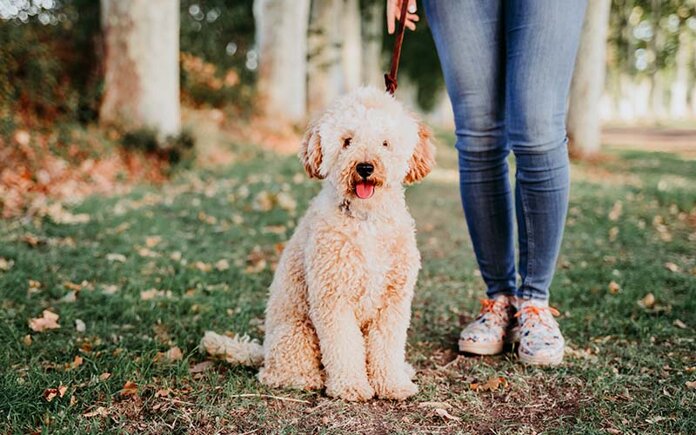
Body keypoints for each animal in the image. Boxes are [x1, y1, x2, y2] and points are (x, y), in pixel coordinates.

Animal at [198, 86, 432, 402]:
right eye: (347, 141)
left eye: (385, 142)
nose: (365, 167)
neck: (365, 219)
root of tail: (264, 351)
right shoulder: (333, 297)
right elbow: (344, 347)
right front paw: (350, 386)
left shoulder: (392, 301)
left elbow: (387, 347)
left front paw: (393, 384)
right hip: (297, 334)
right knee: (276, 374)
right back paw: (313, 379)